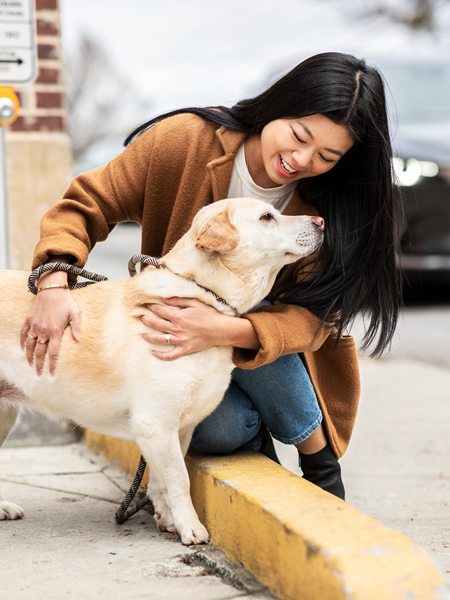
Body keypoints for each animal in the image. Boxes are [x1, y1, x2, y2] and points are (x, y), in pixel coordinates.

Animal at [0, 197, 324, 544]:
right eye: (267, 217)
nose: (320, 222)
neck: (203, 294)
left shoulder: (176, 429)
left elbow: (161, 480)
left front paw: (169, 519)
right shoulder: (155, 423)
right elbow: (180, 480)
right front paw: (191, 527)